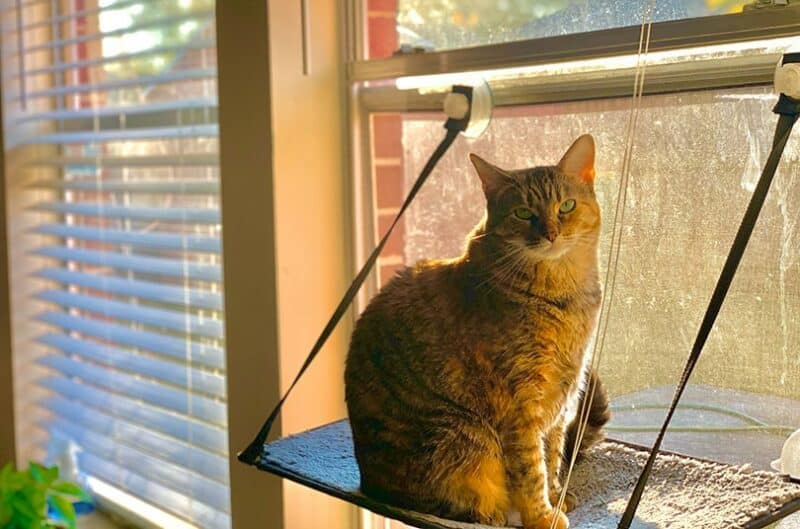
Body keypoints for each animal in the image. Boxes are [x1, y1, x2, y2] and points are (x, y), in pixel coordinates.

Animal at [346, 134, 612, 524]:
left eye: (566, 206)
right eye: (523, 213)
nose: (550, 234)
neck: (563, 292)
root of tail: (370, 484)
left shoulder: (561, 397)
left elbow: (551, 456)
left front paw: (556, 497)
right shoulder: (521, 405)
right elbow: (532, 469)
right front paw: (542, 515)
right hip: (461, 436)